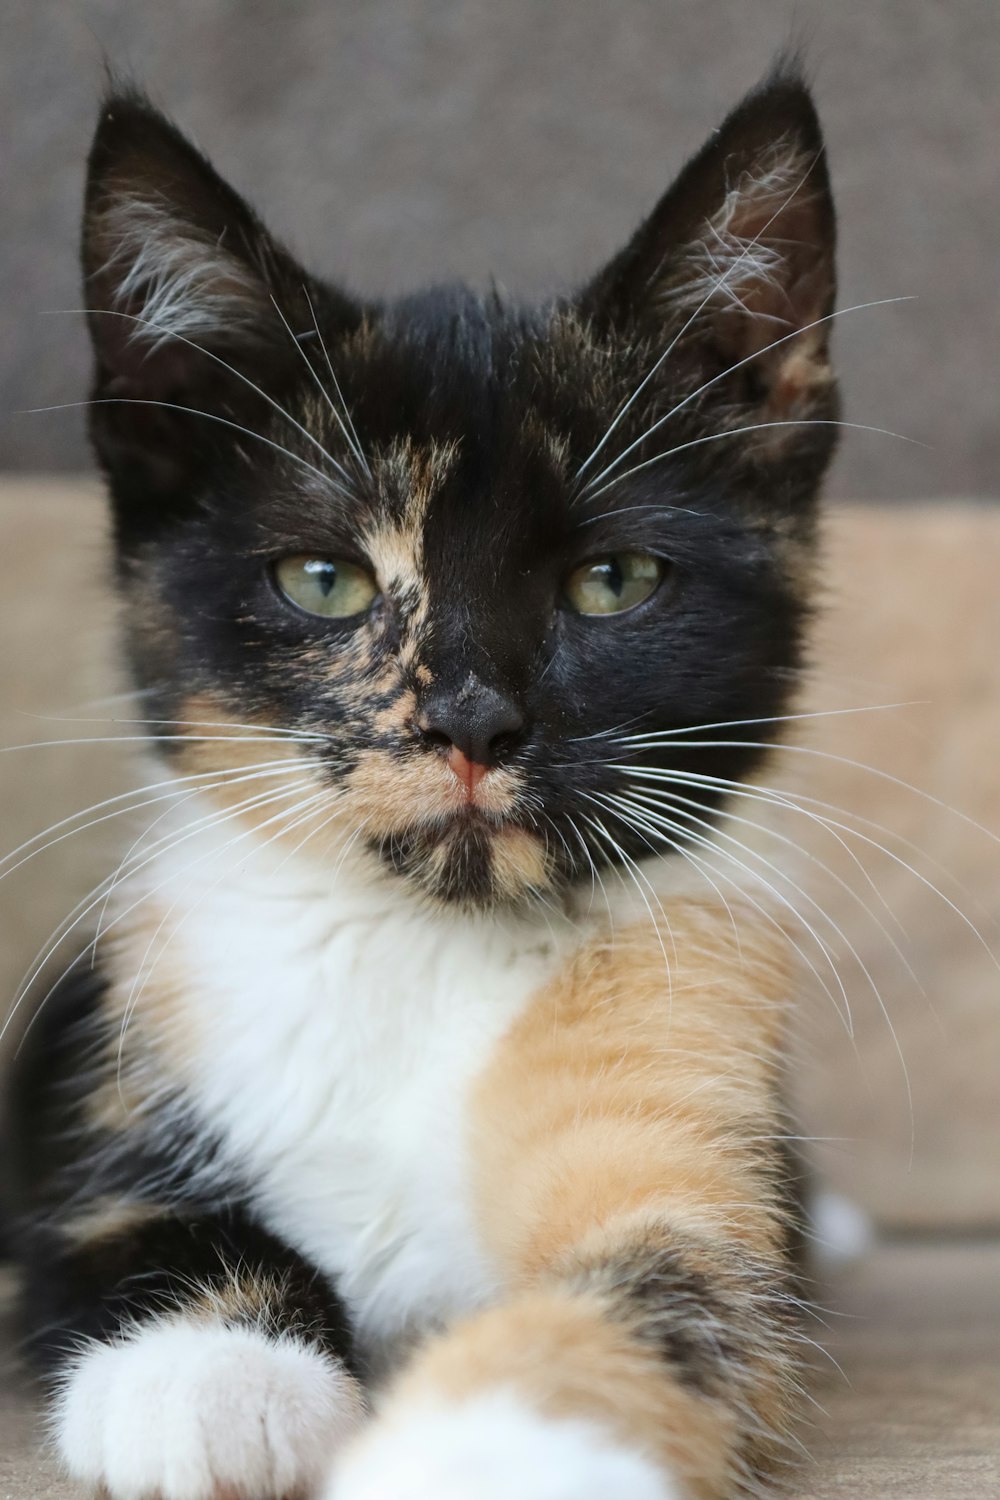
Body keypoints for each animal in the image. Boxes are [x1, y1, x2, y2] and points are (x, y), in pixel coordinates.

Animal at [13, 67, 839, 1500]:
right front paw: (213, 1374)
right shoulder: (115, 1083)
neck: (425, 943)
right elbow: (125, 1218)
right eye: (324, 579)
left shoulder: (698, 1116)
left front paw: (488, 1443)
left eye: (613, 581)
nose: (468, 719)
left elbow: (679, 1290)